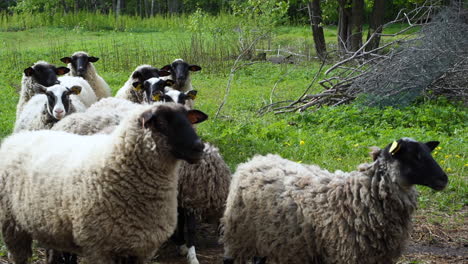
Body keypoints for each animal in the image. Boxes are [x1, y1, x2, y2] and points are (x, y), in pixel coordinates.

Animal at [0, 102, 208, 264]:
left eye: (190, 120)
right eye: (163, 122)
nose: (200, 147)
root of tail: (14, 138)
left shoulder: (139, 248)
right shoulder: (99, 248)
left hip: (48, 226)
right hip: (11, 224)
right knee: (19, 256)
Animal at [221, 138, 448, 264]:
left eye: (427, 152)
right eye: (415, 156)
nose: (443, 179)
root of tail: (254, 161)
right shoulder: (348, 255)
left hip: (267, 236)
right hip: (239, 235)